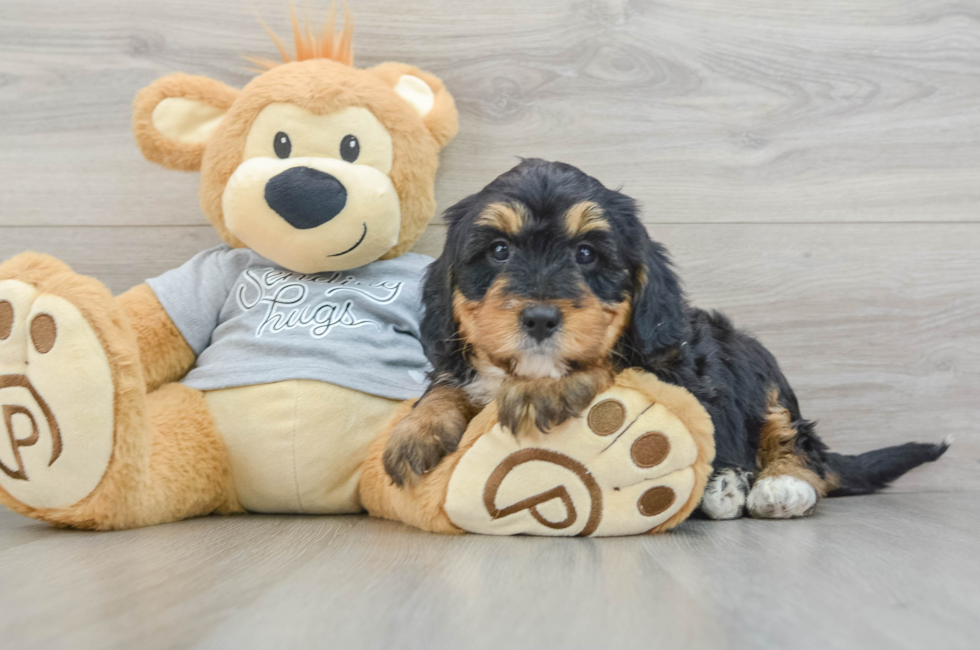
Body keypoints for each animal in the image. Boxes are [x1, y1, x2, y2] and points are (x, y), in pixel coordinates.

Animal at [384, 159, 948, 520]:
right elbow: (447, 384)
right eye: (499, 250)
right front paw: (417, 429)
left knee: (796, 439)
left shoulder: (671, 369)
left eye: (587, 254)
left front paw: (543, 390)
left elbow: (605, 365)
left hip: (755, 362)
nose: (541, 319)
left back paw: (772, 485)